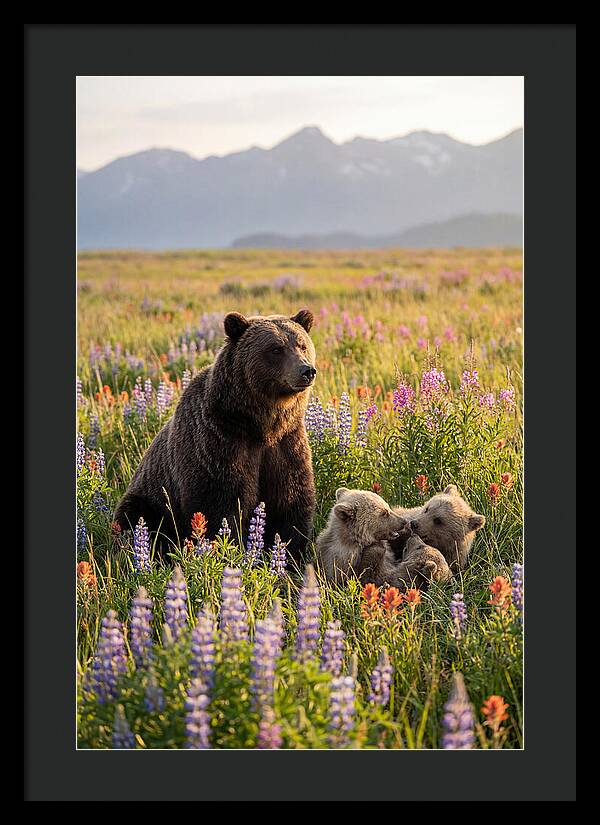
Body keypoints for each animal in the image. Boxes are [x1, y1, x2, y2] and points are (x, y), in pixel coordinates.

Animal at [113, 309, 318, 563]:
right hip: (150, 498)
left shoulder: (286, 444)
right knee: (137, 519)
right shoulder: (218, 442)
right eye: (276, 349)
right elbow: (219, 504)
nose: (306, 370)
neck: (260, 425)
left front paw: (290, 557)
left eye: (302, 345)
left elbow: (291, 501)